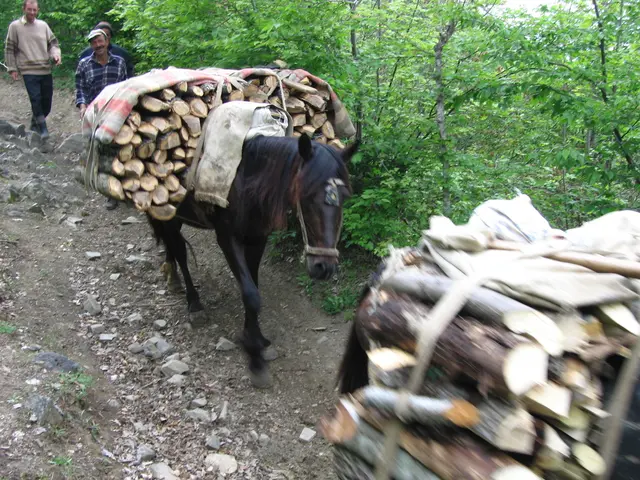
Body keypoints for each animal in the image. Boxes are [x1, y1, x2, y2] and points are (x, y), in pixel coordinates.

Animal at [148, 134, 357, 388]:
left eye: (345, 196)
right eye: (305, 194)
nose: (323, 267)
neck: (245, 181)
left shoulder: (258, 238)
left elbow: (254, 287)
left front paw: (256, 337)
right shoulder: (228, 239)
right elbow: (250, 295)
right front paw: (255, 357)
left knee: (170, 244)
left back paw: (172, 276)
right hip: (168, 212)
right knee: (178, 249)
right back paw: (193, 303)